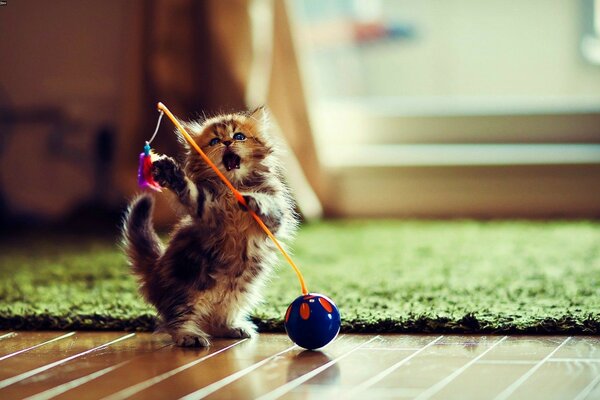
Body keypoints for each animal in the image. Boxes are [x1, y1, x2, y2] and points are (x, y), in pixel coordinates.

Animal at [122, 107, 298, 346]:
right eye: (214, 141)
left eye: (239, 136)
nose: (227, 142)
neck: (232, 185)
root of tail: (155, 270)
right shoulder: (208, 209)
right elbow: (191, 192)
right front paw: (171, 174)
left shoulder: (275, 217)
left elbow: (268, 205)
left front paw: (254, 200)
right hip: (186, 288)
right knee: (175, 320)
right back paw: (189, 336)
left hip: (239, 292)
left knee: (216, 320)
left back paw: (232, 327)